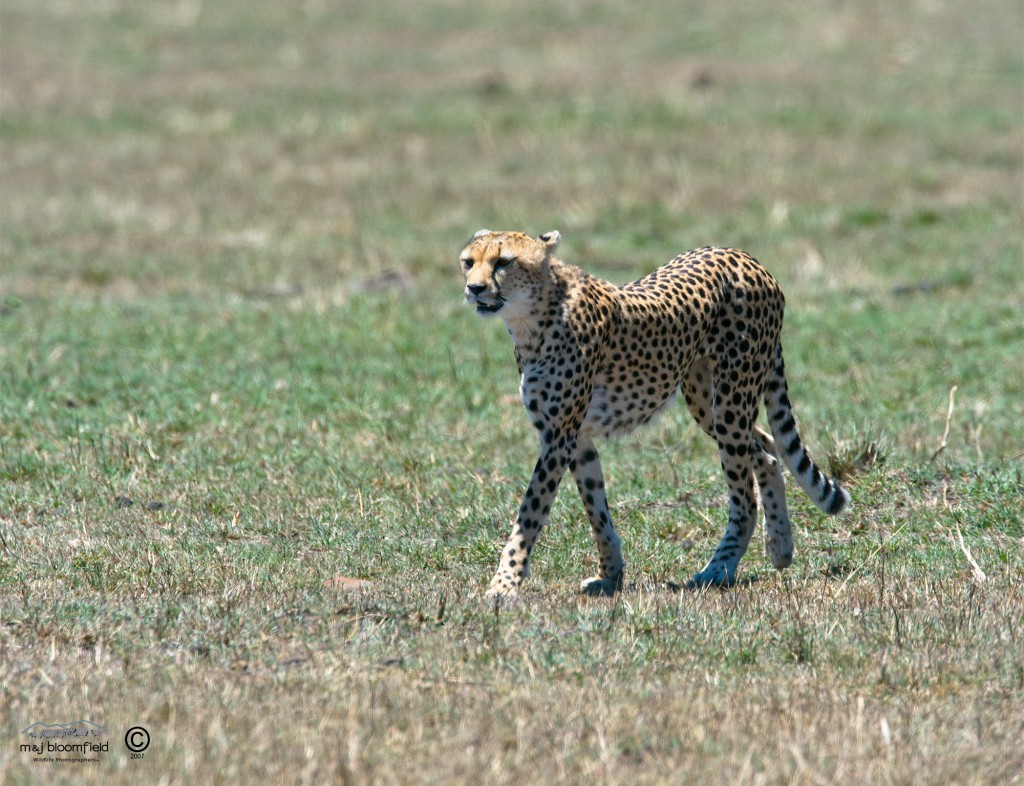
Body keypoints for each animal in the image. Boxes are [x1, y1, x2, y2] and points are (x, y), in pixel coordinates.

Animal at [460, 230, 851, 597]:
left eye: (503, 262)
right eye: (468, 262)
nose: (474, 289)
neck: (533, 318)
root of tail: (745, 257)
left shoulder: (560, 436)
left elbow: (530, 514)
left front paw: (504, 584)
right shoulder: (577, 437)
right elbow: (596, 508)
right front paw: (610, 574)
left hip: (731, 401)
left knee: (744, 496)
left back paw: (719, 569)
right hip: (706, 402)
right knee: (768, 450)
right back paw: (780, 547)